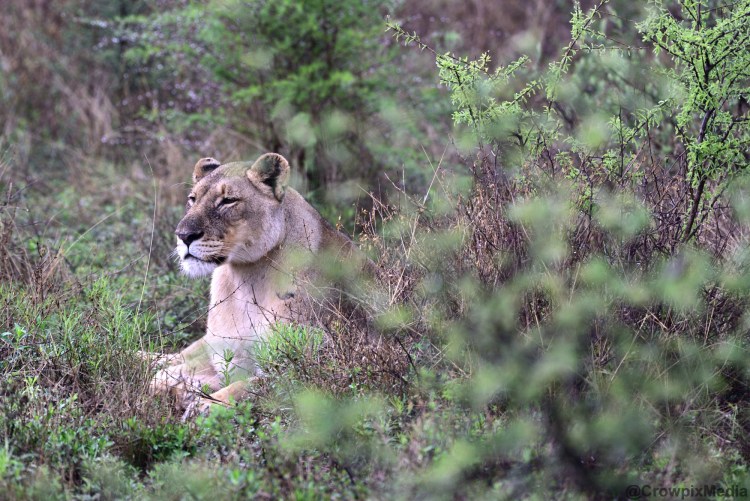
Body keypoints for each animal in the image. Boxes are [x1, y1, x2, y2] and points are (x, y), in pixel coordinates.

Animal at [149, 153, 366, 412]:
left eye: (228, 201)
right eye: (192, 199)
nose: (183, 235)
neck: (245, 279)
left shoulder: (316, 360)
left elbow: (251, 387)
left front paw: (201, 405)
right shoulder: (221, 352)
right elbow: (160, 378)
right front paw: (183, 390)